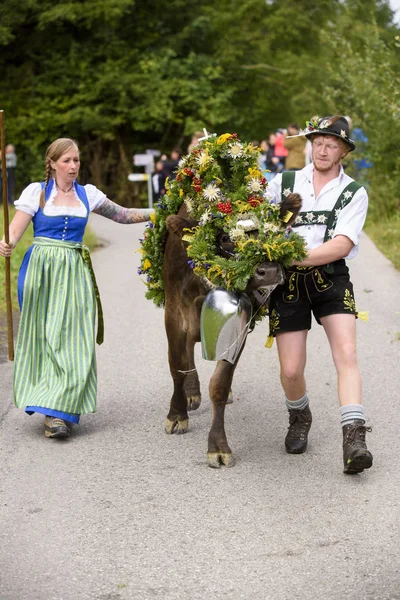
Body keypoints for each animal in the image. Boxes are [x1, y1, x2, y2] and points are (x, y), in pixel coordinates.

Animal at [161, 195, 302, 466]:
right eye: (225, 237)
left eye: (271, 231)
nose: (269, 271)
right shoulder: (173, 312)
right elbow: (176, 366)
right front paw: (176, 415)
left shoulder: (240, 322)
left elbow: (220, 384)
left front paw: (218, 446)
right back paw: (190, 394)